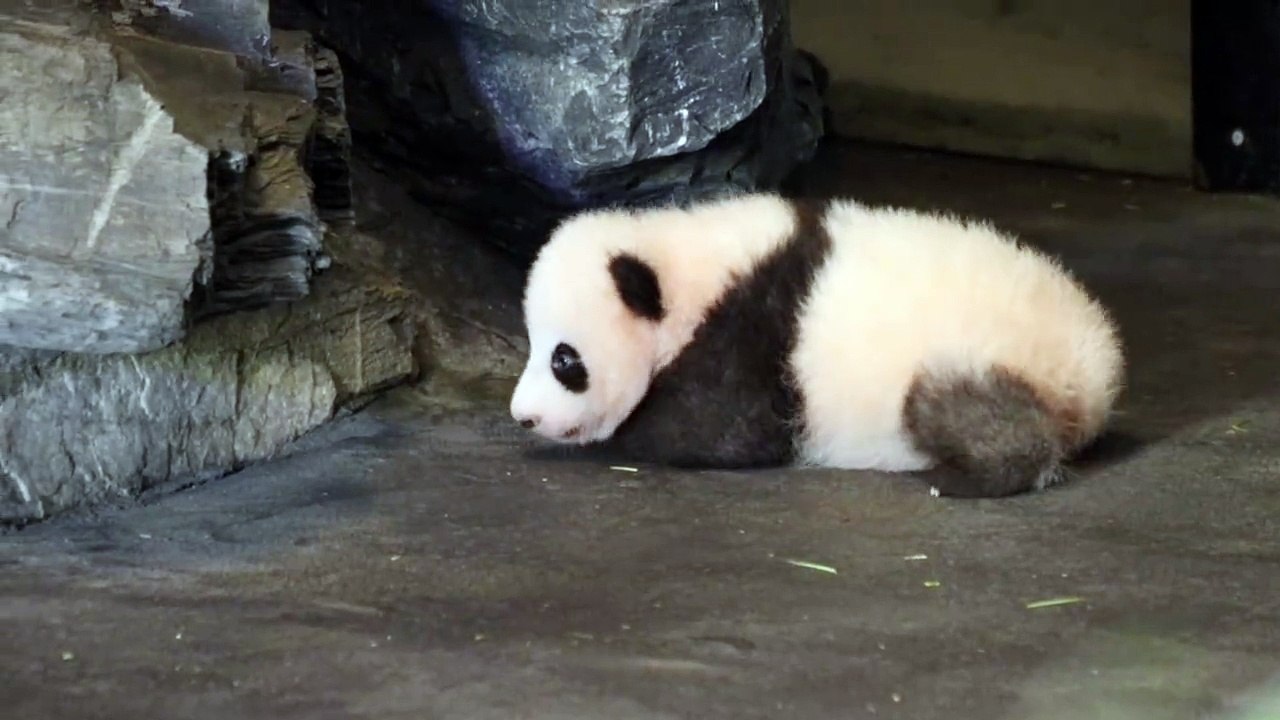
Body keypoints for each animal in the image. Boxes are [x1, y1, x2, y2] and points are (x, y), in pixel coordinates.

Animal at [508, 192, 1124, 498]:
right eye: (533, 345)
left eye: (565, 361)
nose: (524, 417)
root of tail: (1095, 368)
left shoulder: (750, 336)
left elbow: (723, 431)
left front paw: (631, 432)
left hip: (989, 354)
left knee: (962, 409)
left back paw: (956, 478)